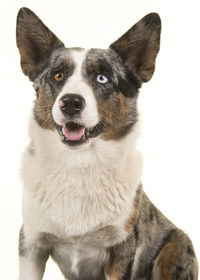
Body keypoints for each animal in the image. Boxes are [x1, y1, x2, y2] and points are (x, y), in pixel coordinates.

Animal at [16, 7, 198, 280]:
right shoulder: (32, 243)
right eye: (58, 75)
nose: (71, 102)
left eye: (102, 78)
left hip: (176, 246)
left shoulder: (121, 249)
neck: (79, 166)